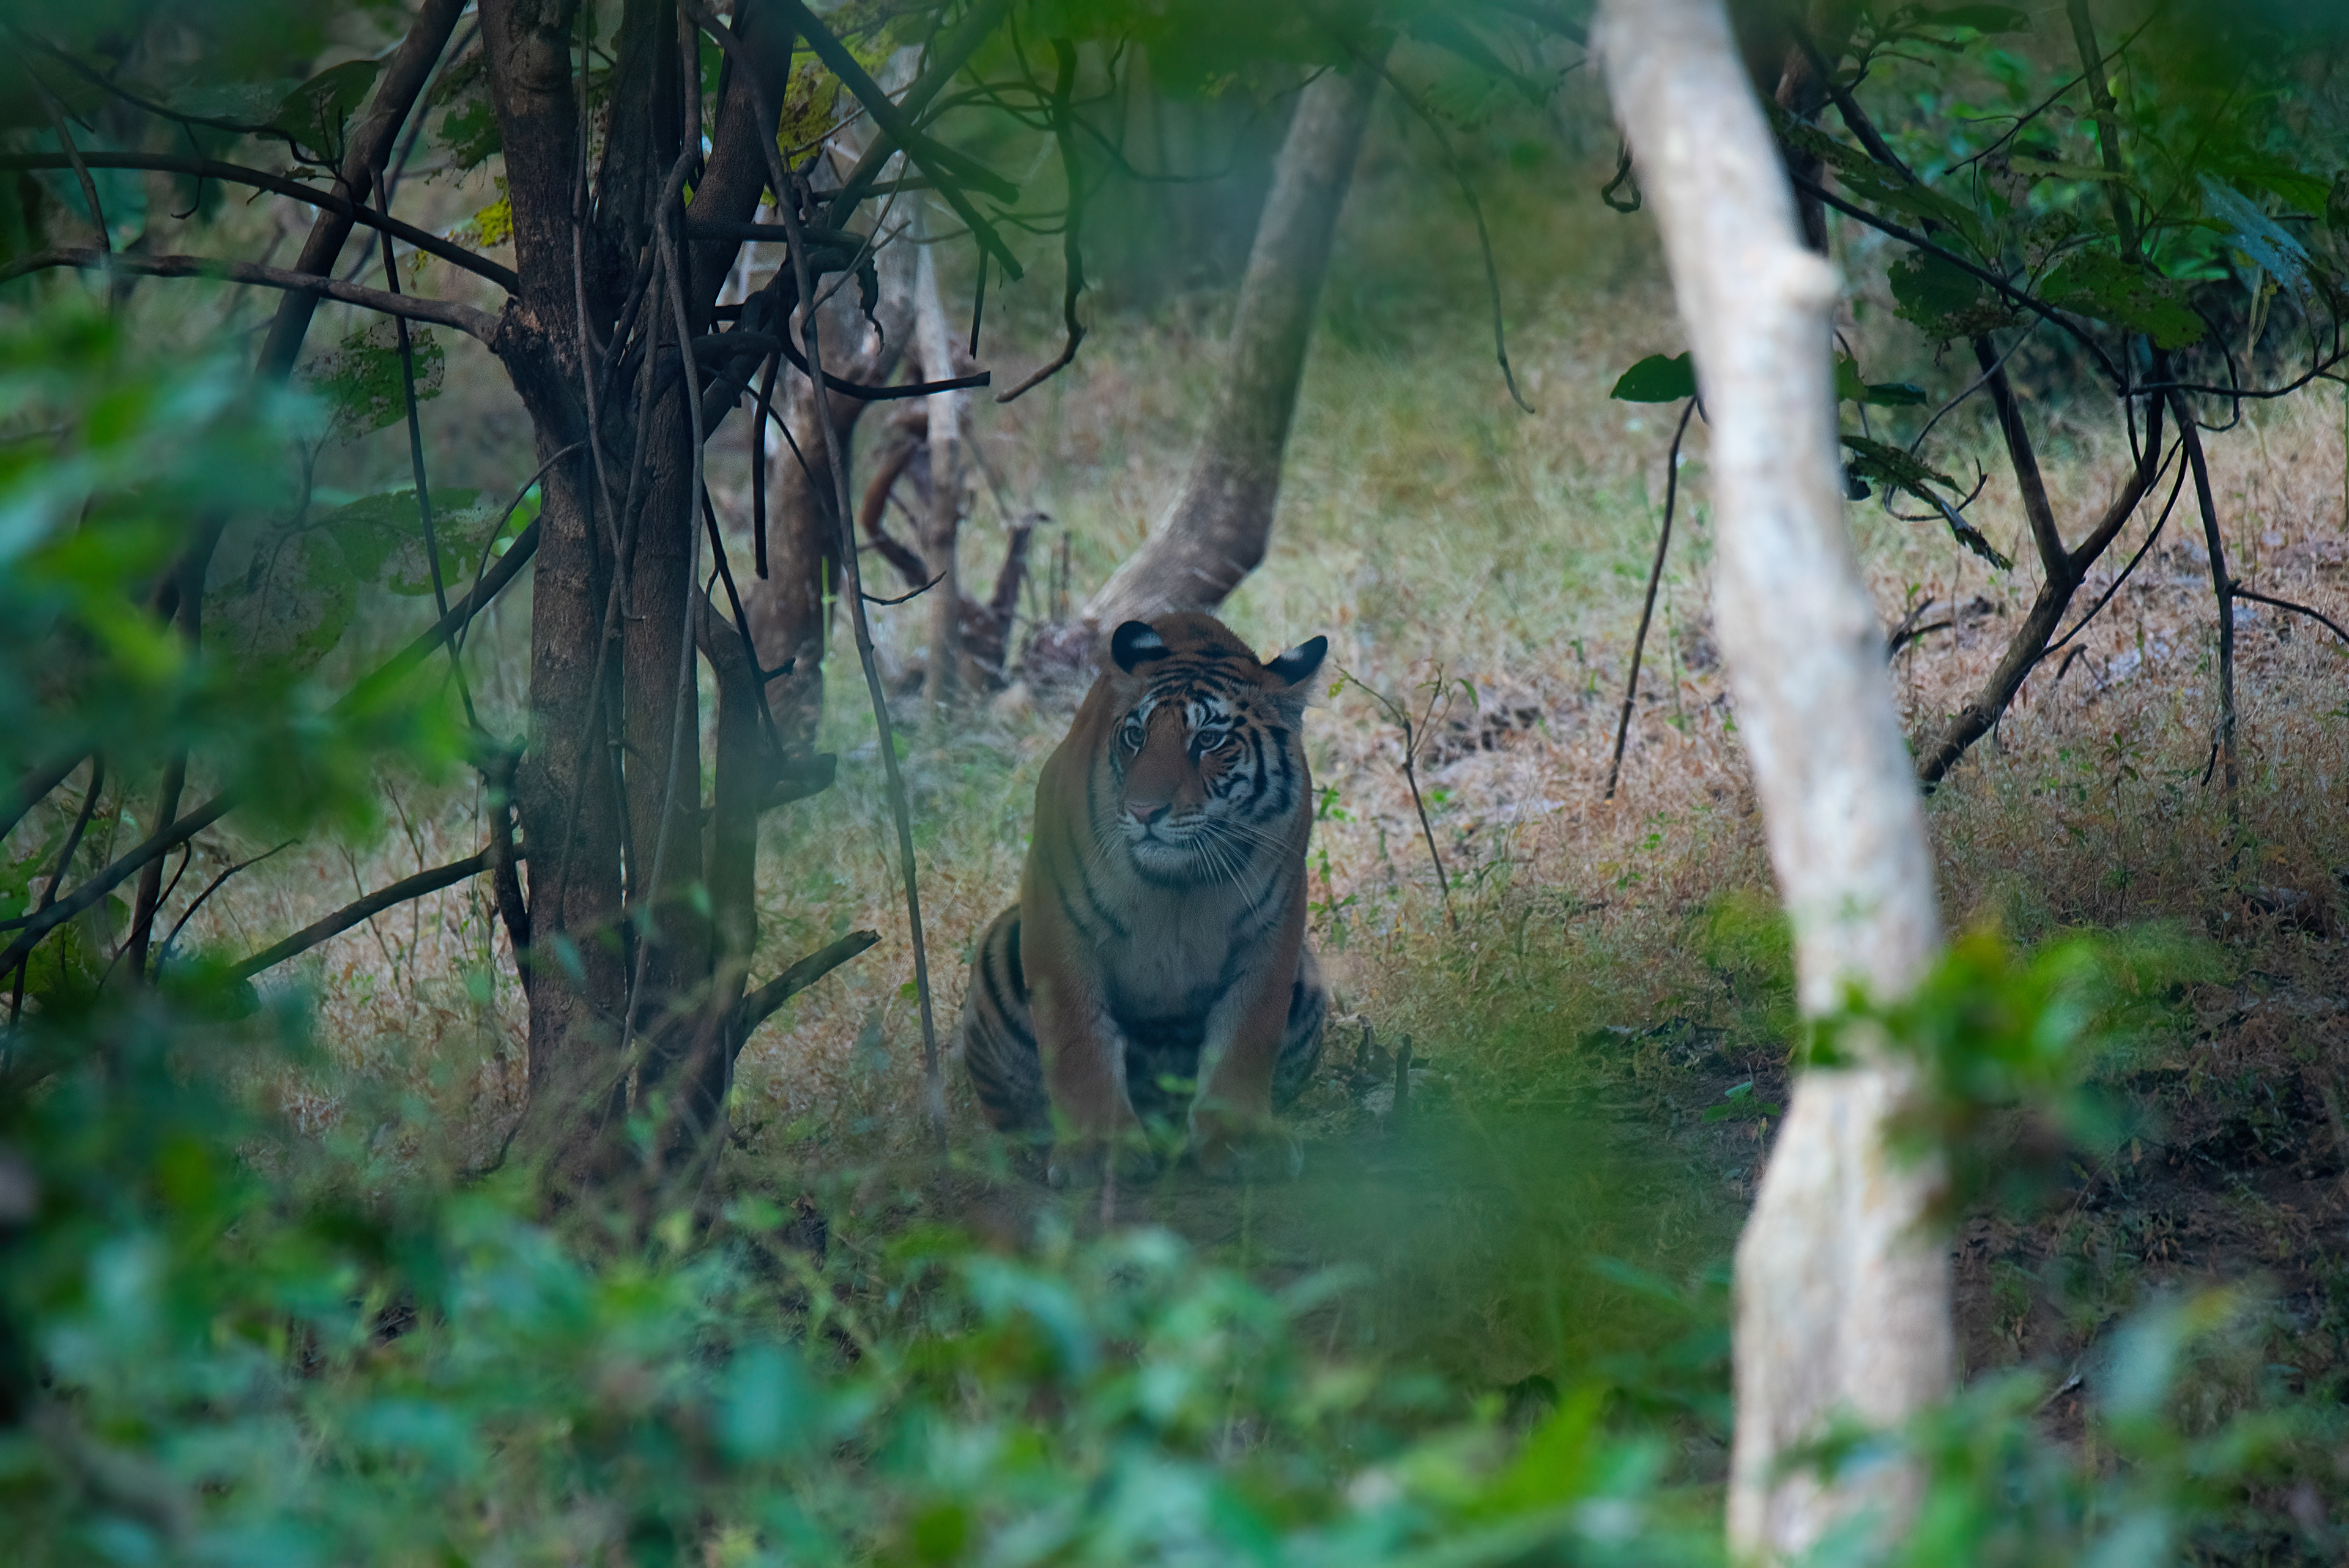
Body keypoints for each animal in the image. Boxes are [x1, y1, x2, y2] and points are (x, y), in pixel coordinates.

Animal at [957, 613, 1331, 1186]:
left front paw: (1239, 1138)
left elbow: (1249, 1030)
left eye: (1209, 739)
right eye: (1136, 736)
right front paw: (1099, 1152)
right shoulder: (1055, 911)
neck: (1180, 882)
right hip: (1003, 944)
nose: (1142, 810)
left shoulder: (1275, 923)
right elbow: (1077, 1036)